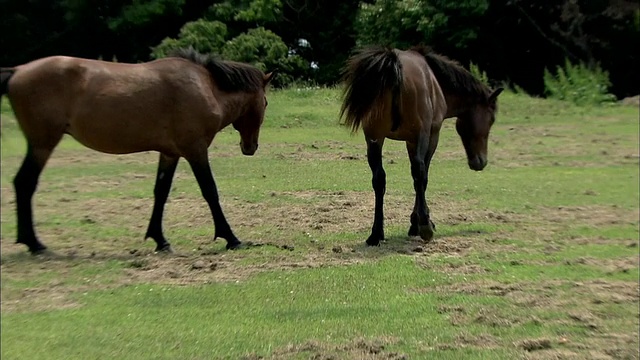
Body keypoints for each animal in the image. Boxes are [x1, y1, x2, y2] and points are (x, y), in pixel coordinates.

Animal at [0, 48, 276, 253]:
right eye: (265, 102)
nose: (250, 147)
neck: (206, 86)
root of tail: (18, 70)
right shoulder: (195, 150)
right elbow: (210, 191)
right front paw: (231, 238)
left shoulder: (170, 153)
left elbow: (161, 192)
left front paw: (160, 240)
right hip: (42, 144)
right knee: (25, 183)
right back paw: (35, 244)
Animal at [342, 45, 502, 246]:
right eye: (491, 119)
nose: (481, 162)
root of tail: (394, 65)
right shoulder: (430, 137)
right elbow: (422, 176)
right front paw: (418, 223)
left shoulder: (409, 142)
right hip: (418, 135)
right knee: (419, 172)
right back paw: (424, 227)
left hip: (374, 139)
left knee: (379, 179)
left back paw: (376, 233)